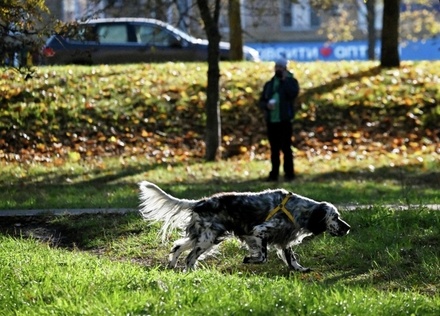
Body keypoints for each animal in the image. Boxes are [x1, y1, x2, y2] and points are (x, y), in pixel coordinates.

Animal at [138, 180, 350, 272]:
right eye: (336, 217)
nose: (347, 228)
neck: (298, 209)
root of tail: (201, 202)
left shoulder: (284, 240)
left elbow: (291, 258)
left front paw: (300, 269)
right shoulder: (259, 232)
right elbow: (263, 256)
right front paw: (249, 259)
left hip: (206, 236)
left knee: (178, 246)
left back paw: (173, 265)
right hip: (207, 239)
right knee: (190, 257)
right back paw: (191, 273)